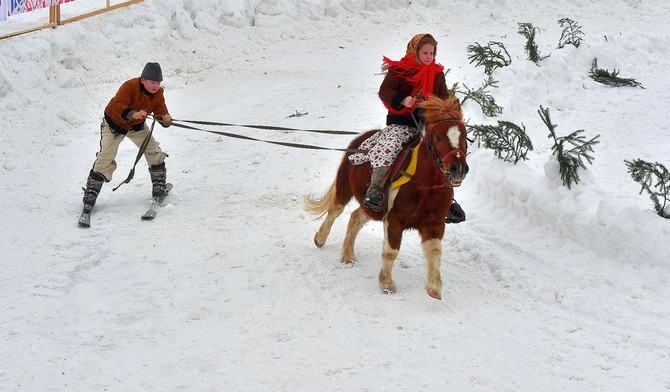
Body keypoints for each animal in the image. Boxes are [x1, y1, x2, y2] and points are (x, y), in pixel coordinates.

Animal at [308, 96, 470, 298]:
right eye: (438, 137)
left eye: (464, 135)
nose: (458, 169)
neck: (424, 184)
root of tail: (361, 138)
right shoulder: (394, 219)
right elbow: (391, 251)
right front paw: (386, 283)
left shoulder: (434, 223)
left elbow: (434, 251)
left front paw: (434, 289)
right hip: (344, 188)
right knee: (334, 212)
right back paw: (320, 238)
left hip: (371, 207)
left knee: (355, 218)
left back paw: (348, 255)